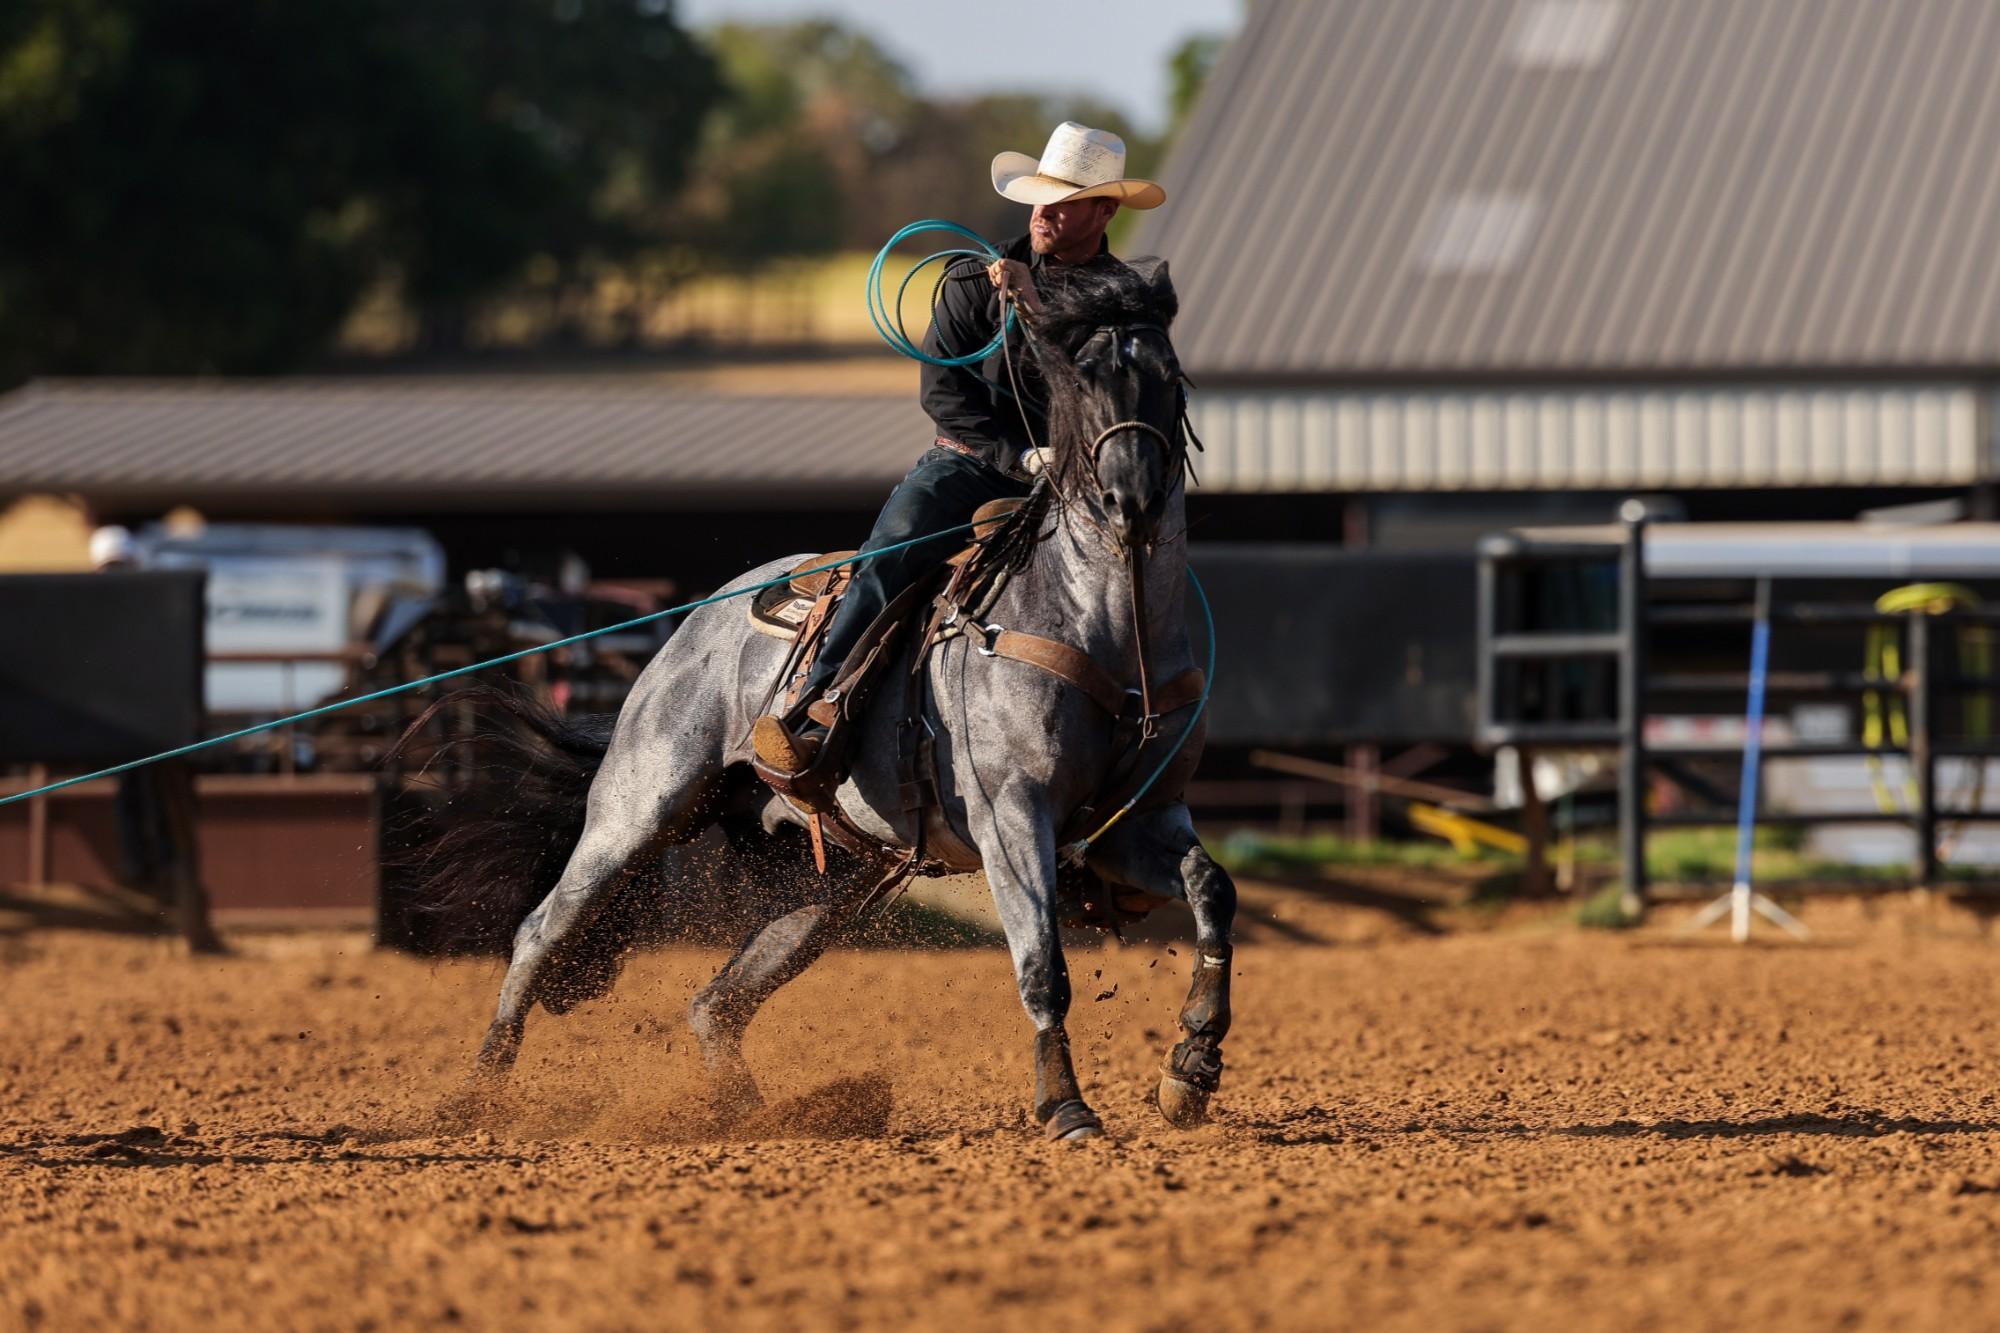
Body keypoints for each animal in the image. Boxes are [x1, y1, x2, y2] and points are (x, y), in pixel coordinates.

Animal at [413, 257, 1237, 1141]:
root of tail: (692, 623)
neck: (1102, 625)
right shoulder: (1013, 817)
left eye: (1170, 377)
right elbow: (1042, 962)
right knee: (542, 931)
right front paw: (1068, 1106)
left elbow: (1212, 889)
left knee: (716, 1000)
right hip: (638, 808)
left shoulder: (1135, 819)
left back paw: (756, 1114)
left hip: (825, 887)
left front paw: (1192, 1062)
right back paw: (476, 1095)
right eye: (1080, 379)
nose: (1130, 502)